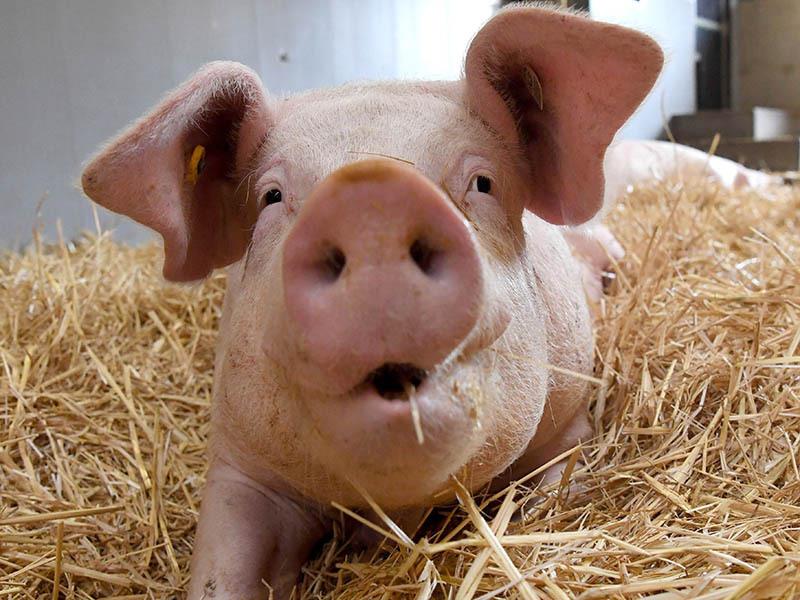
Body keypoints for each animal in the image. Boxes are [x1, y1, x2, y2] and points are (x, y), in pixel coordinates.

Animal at [81, 5, 665, 598]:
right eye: (271, 196)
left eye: (483, 182)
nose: (371, 196)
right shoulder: (239, 461)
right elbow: (219, 571)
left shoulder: (570, 411)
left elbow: (557, 489)